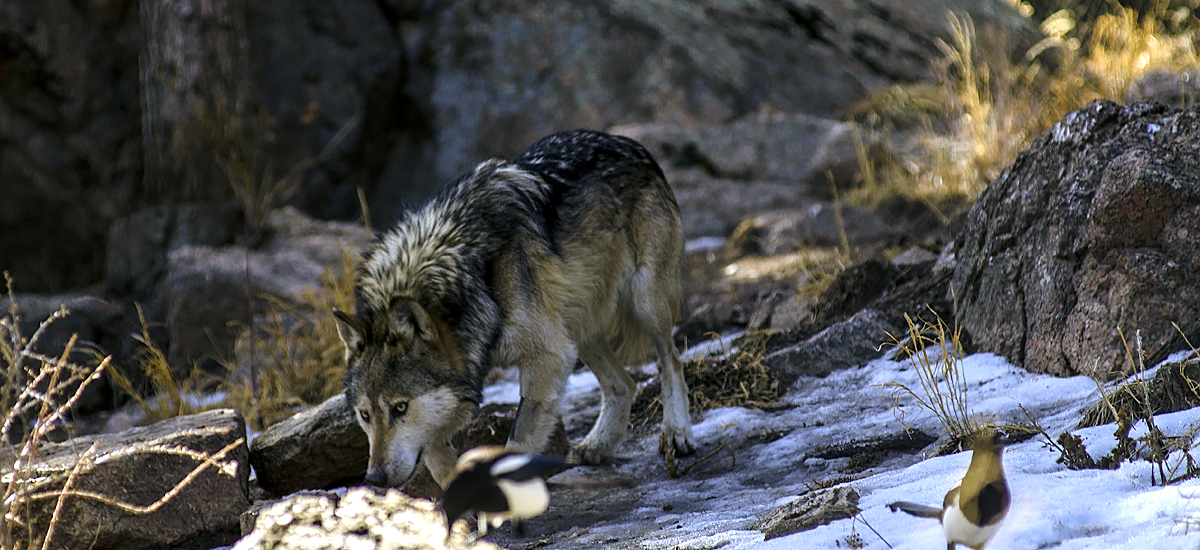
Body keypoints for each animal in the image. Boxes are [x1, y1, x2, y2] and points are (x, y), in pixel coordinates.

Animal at [336, 129, 696, 489]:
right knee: (624, 384)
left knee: (670, 360)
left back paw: (676, 433)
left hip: (644, 302)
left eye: (400, 408)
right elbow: (437, 453)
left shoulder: (549, 357)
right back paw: (598, 445)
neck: (473, 274)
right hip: (577, 329)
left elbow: (516, 444)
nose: (374, 479)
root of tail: (629, 143)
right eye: (365, 415)